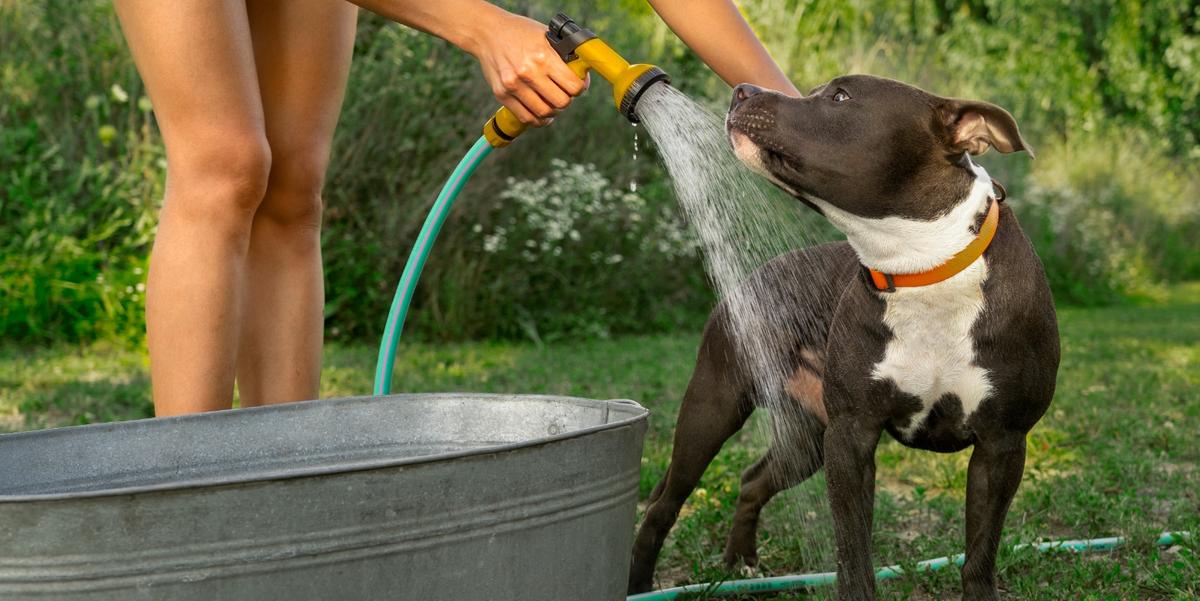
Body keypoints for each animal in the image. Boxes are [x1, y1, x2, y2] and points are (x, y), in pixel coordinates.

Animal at [628, 76, 1060, 599]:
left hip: (806, 437)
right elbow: (853, 551)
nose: (743, 89)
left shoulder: (1002, 445)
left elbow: (980, 554)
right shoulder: (851, 435)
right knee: (663, 505)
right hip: (713, 407)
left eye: (840, 97)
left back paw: (740, 561)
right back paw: (641, 582)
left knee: (752, 481)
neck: (924, 267)